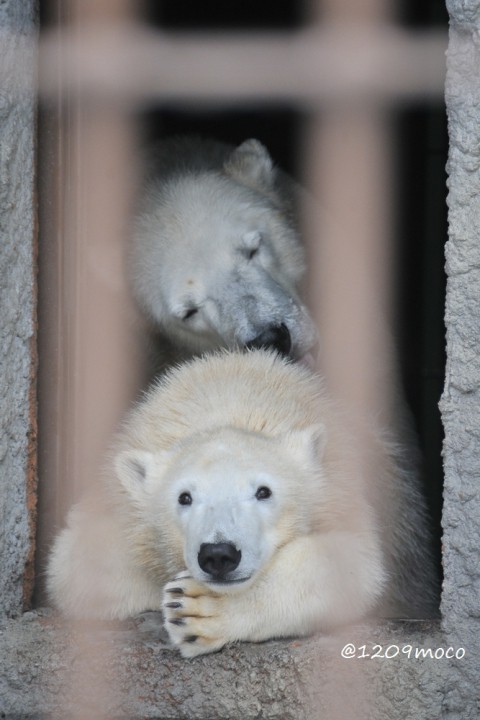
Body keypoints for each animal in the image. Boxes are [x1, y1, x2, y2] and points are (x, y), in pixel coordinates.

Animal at [47, 348, 436, 660]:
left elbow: (352, 565)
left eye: (264, 491)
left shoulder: (341, 492)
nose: (219, 554)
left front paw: (196, 609)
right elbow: (74, 567)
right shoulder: (118, 503)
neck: (233, 397)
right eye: (184, 497)